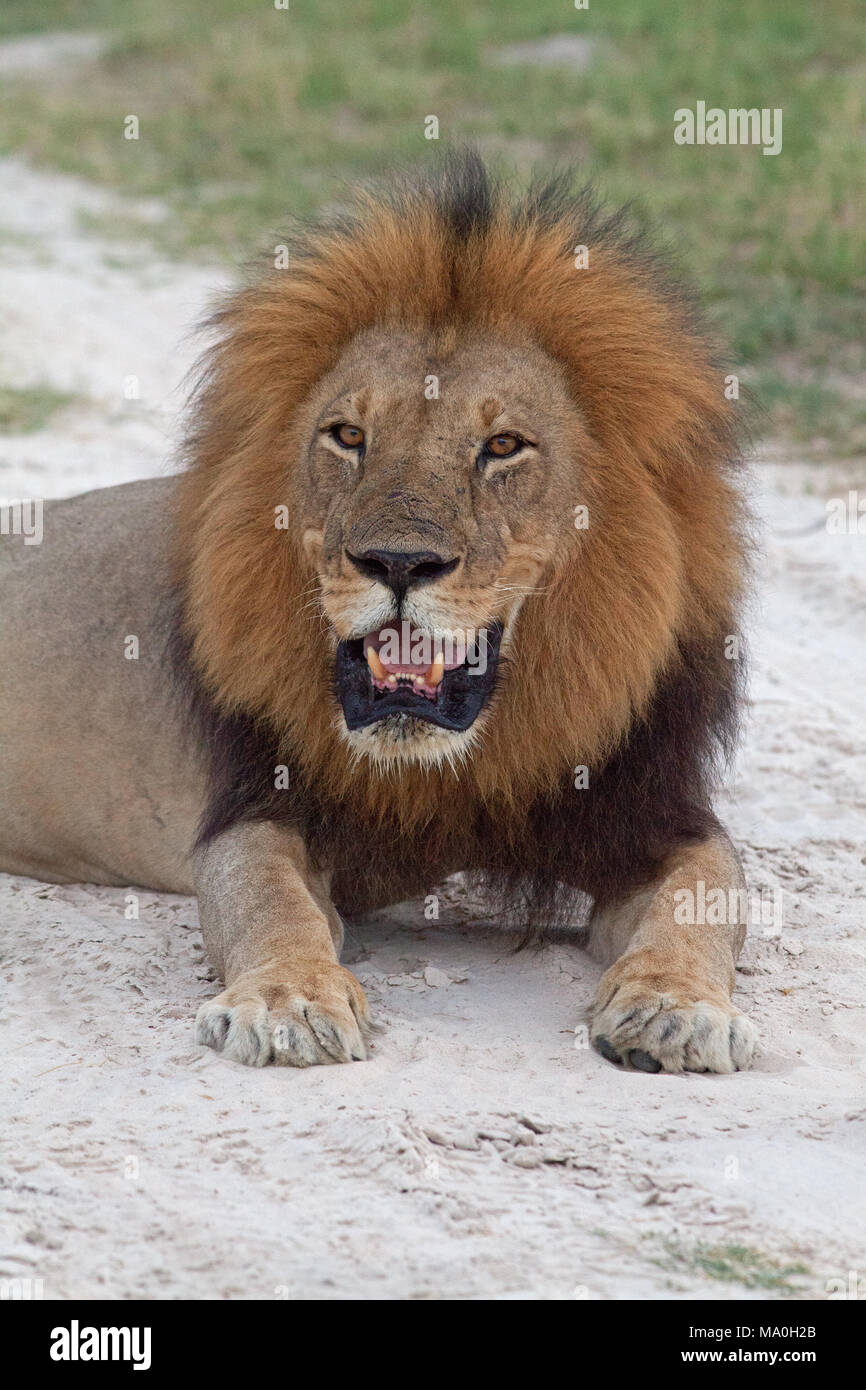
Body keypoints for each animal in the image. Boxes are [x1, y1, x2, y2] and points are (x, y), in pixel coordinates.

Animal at [0, 157, 756, 1078]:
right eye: (348, 435)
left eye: (503, 447)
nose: (398, 563)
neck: (450, 771)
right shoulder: (258, 808)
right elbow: (271, 904)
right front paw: (288, 1001)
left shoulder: (655, 815)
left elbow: (702, 902)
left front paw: (674, 1008)